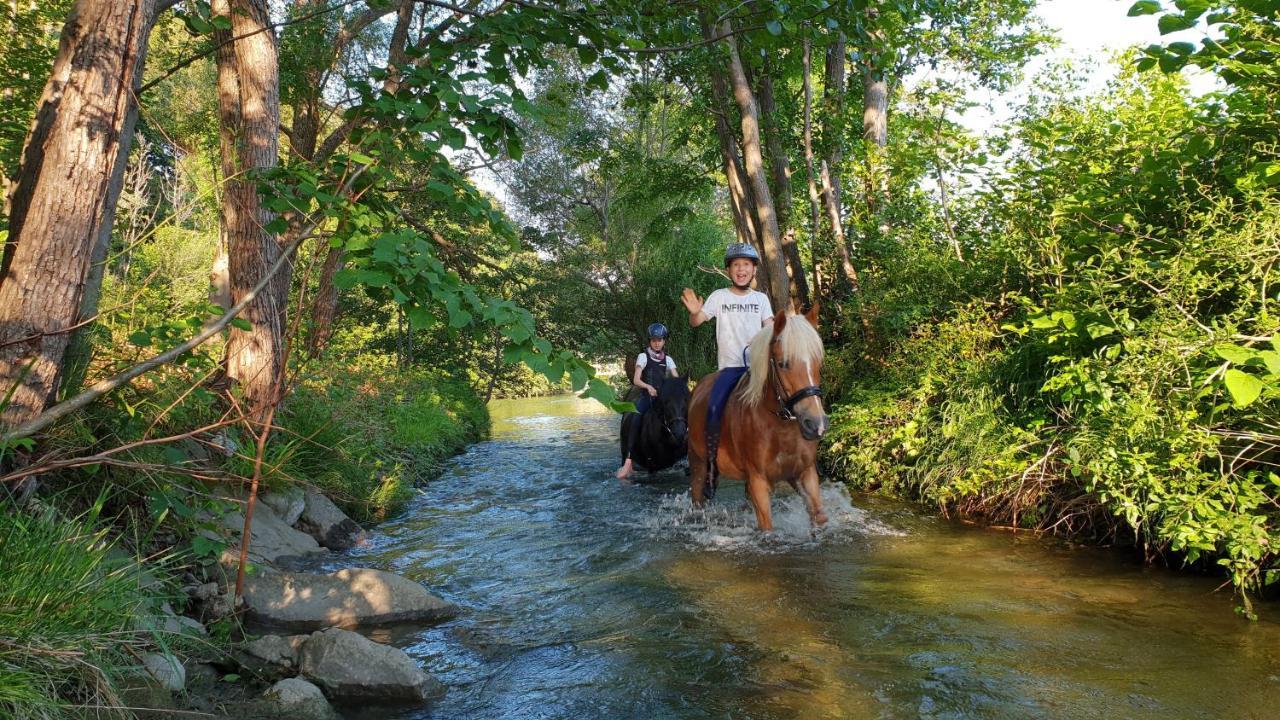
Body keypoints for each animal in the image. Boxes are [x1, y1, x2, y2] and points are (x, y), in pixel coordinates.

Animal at [691, 304, 829, 530]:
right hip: (698, 464)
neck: (779, 426)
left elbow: (819, 518)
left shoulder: (806, 474)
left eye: (818, 363)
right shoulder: (758, 481)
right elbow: (767, 528)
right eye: (783, 363)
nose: (816, 424)